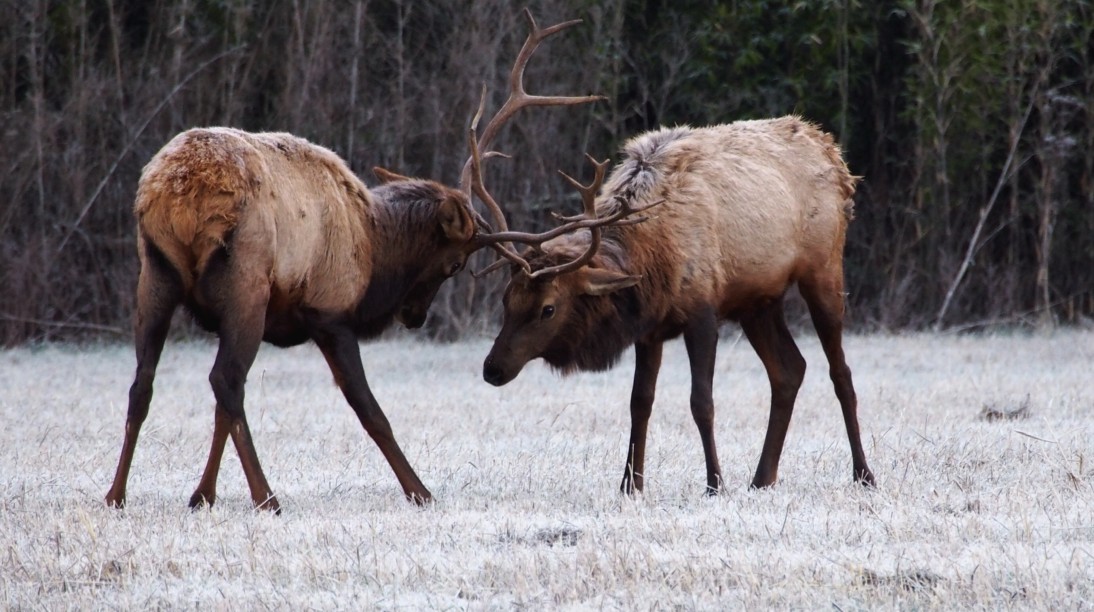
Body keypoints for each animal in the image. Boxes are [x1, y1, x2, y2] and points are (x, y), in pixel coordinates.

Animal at [106, 10, 603, 516]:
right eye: (454, 265)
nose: (414, 316)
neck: (374, 249)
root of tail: (177, 196)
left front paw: (201, 495)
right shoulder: (331, 313)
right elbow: (369, 409)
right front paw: (420, 491)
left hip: (155, 274)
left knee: (143, 384)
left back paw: (115, 494)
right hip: (247, 284)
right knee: (226, 381)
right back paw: (267, 498)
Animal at [483, 117, 875, 494]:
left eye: (548, 308)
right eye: (506, 299)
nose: (492, 369)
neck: (654, 260)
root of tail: (834, 155)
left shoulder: (702, 313)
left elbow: (701, 402)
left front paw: (715, 484)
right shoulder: (649, 328)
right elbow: (639, 402)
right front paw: (630, 485)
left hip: (823, 269)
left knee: (840, 372)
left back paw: (863, 474)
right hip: (758, 302)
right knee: (789, 369)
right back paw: (762, 478)